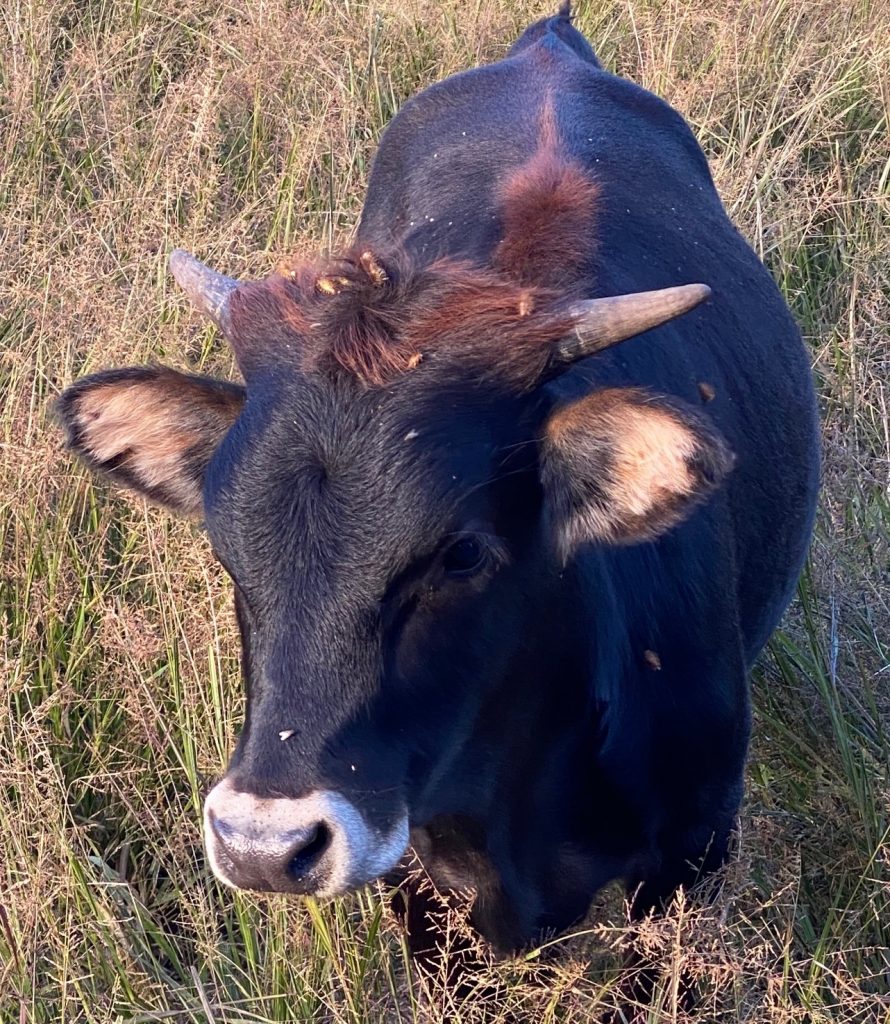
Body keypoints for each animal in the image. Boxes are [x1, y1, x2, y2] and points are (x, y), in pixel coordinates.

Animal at [57, 4, 819, 966]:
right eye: (227, 545)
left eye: (462, 554)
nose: (264, 845)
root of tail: (548, 46)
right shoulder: (415, 875)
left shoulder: (693, 854)